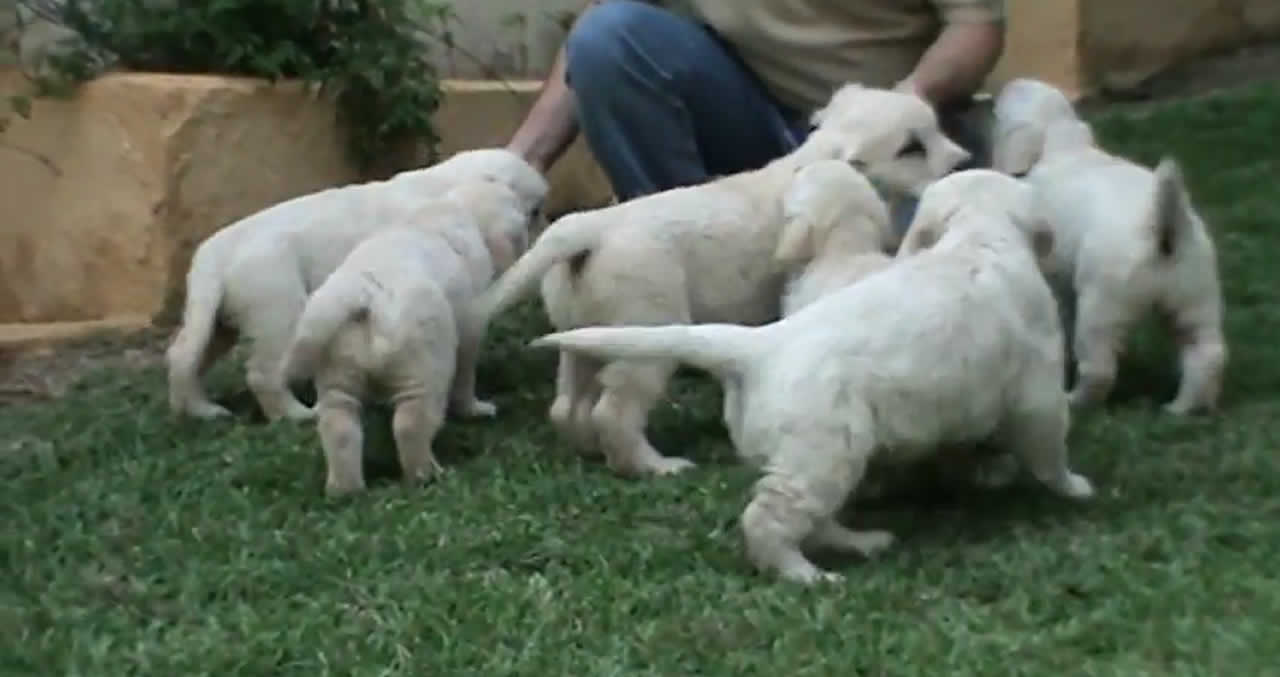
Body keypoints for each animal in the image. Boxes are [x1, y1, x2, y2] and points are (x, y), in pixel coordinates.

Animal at [276, 184, 529, 496]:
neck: (455, 208)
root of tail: (361, 294)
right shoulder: (470, 326)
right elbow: (465, 374)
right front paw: (474, 409)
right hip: (423, 366)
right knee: (410, 425)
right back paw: (426, 475)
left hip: (339, 371)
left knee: (340, 428)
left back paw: (345, 490)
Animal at [473, 83, 967, 476]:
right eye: (911, 149)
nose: (964, 163)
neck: (809, 164)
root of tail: (586, 229)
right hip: (646, 338)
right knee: (614, 413)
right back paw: (657, 467)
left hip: (583, 336)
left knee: (568, 406)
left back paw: (593, 451)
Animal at [529, 171, 1090, 583]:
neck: (978, 240)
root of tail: (757, 347)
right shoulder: (1038, 387)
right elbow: (1048, 444)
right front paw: (1074, 487)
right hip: (820, 452)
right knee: (770, 520)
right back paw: (806, 575)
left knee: (817, 519)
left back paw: (861, 541)